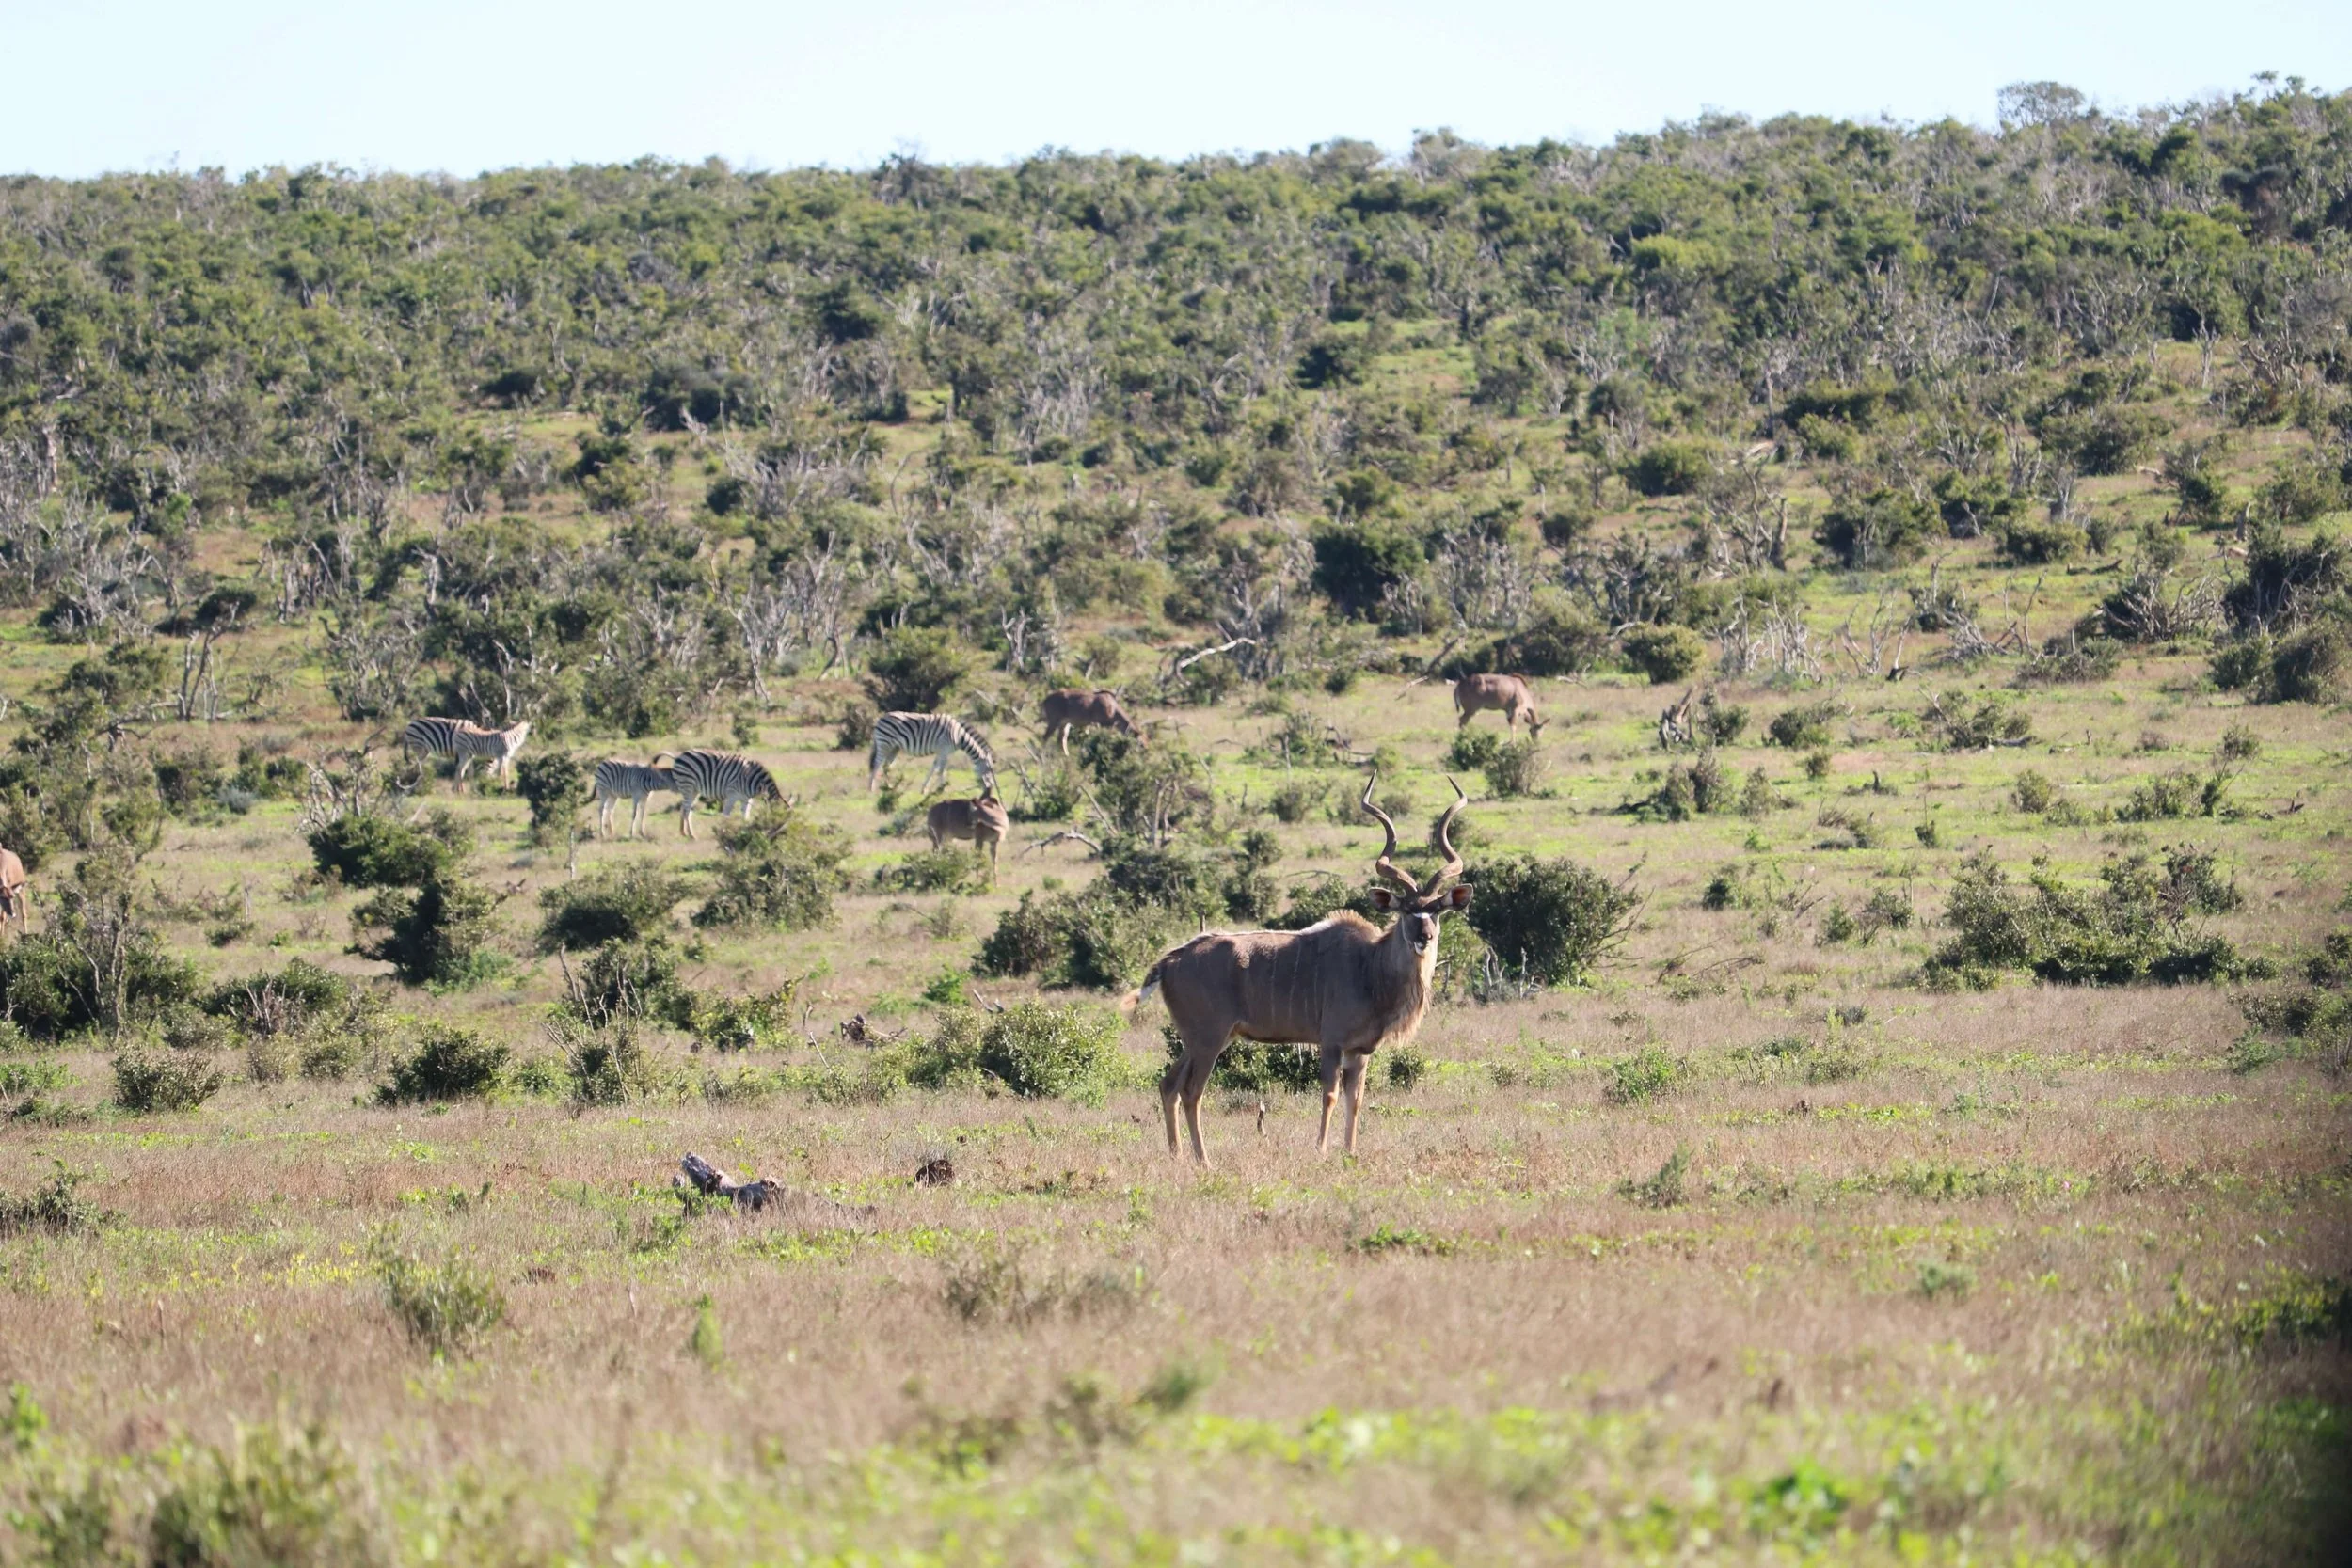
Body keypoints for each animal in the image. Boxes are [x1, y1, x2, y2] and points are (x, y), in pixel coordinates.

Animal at [400, 716, 531, 789]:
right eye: (491, 761)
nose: (485, 781)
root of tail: (409, 724)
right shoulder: (465, 751)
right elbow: (463, 770)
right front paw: (460, 788)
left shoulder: (468, 753)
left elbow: (466, 770)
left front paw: (461, 788)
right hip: (419, 746)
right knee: (417, 763)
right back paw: (419, 780)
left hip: (424, 749)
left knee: (414, 764)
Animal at [867, 712, 995, 794]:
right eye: (988, 769)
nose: (991, 788)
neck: (959, 736)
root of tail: (880, 718)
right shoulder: (944, 749)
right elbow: (941, 770)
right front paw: (942, 788)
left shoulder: (941, 751)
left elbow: (933, 768)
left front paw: (924, 789)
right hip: (885, 743)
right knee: (876, 764)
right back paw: (871, 789)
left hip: (894, 747)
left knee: (886, 766)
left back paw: (889, 787)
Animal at [1126, 776, 1471, 1165]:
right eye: (1406, 910)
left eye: (1436, 910)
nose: (1424, 936)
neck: (1370, 967)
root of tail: (1170, 960)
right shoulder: (1332, 1042)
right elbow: (1330, 1095)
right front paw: (1321, 1149)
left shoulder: (1360, 1051)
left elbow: (1356, 1099)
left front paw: (1350, 1152)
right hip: (1208, 1039)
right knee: (1191, 1091)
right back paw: (1204, 1161)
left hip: (1199, 1039)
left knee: (1169, 1084)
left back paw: (1177, 1156)